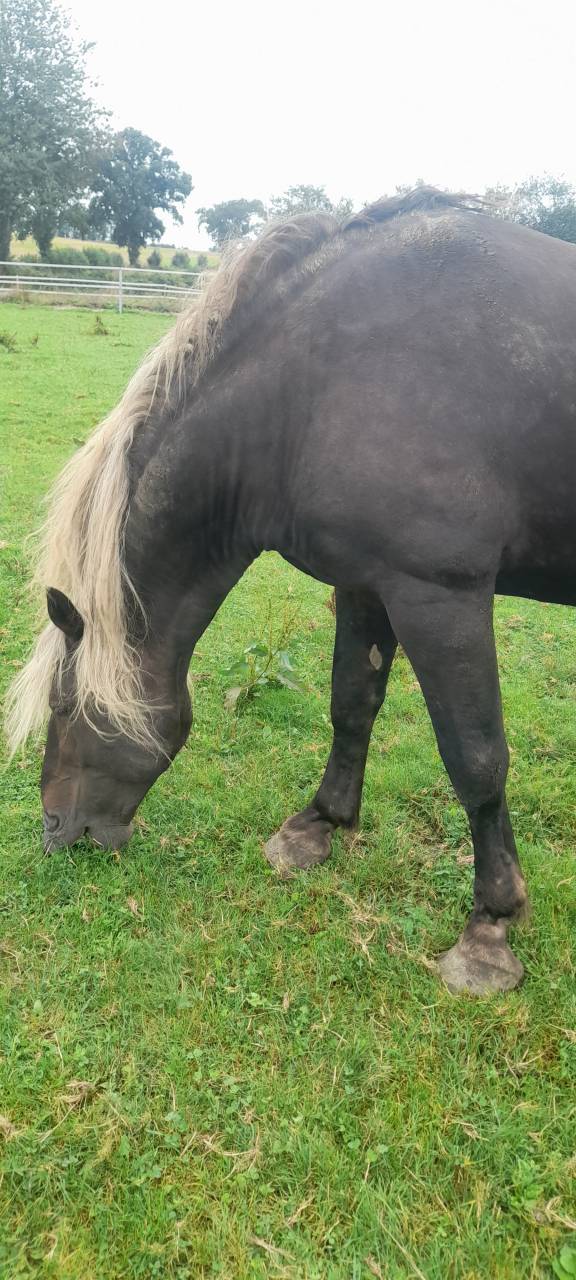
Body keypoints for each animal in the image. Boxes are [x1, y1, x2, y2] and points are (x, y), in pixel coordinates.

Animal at [6, 188, 576, 996]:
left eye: (63, 706)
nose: (55, 831)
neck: (313, 385)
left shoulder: (443, 596)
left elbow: (477, 759)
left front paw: (489, 930)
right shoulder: (369, 583)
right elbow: (352, 707)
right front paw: (316, 829)